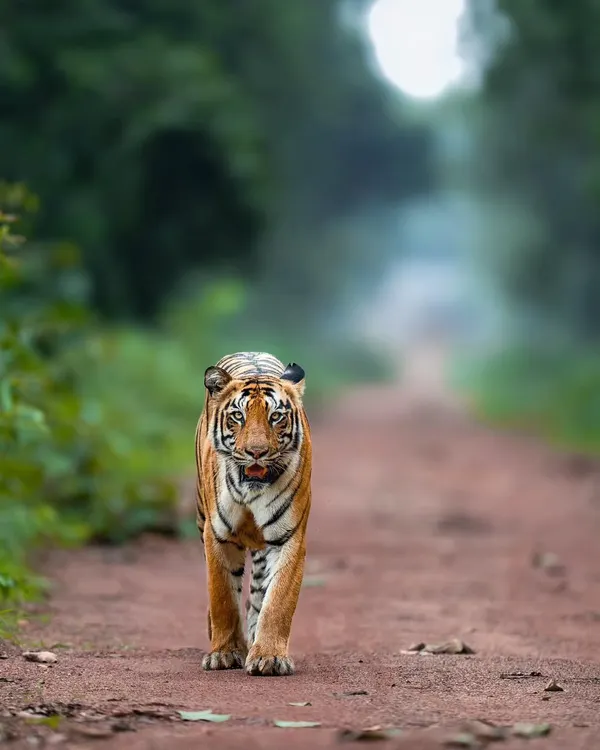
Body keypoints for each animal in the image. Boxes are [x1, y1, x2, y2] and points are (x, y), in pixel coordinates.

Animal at [195, 351, 312, 677]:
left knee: (259, 591)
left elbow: (278, 601)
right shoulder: (217, 535)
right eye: (238, 416)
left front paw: (269, 657)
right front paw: (223, 653)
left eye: (276, 417)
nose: (256, 452)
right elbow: (222, 597)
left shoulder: (288, 537)